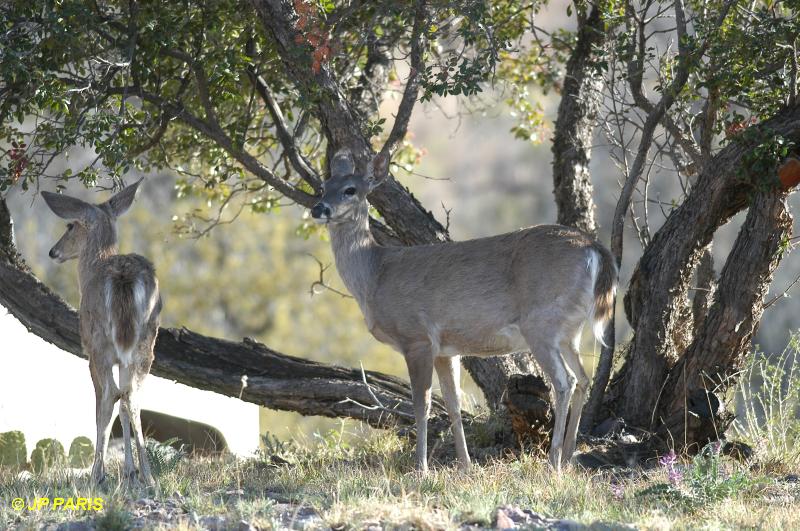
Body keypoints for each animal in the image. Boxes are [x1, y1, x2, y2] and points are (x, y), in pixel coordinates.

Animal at [42, 181, 161, 488]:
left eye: (70, 225)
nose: (53, 252)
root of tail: (122, 277)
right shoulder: (124, 358)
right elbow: (125, 405)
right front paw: (129, 470)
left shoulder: (89, 349)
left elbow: (104, 405)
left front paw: (109, 471)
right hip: (146, 341)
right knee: (132, 396)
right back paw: (147, 475)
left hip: (99, 344)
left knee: (108, 396)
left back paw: (97, 474)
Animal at [310, 151, 620, 474]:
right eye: (323, 186)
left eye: (350, 190)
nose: (318, 208)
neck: (375, 276)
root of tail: (595, 248)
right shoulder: (446, 349)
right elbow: (453, 403)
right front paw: (465, 465)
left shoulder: (416, 337)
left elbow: (422, 404)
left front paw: (421, 467)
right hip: (569, 330)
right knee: (583, 379)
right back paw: (569, 456)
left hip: (541, 324)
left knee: (564, 381)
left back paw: (553, 460)